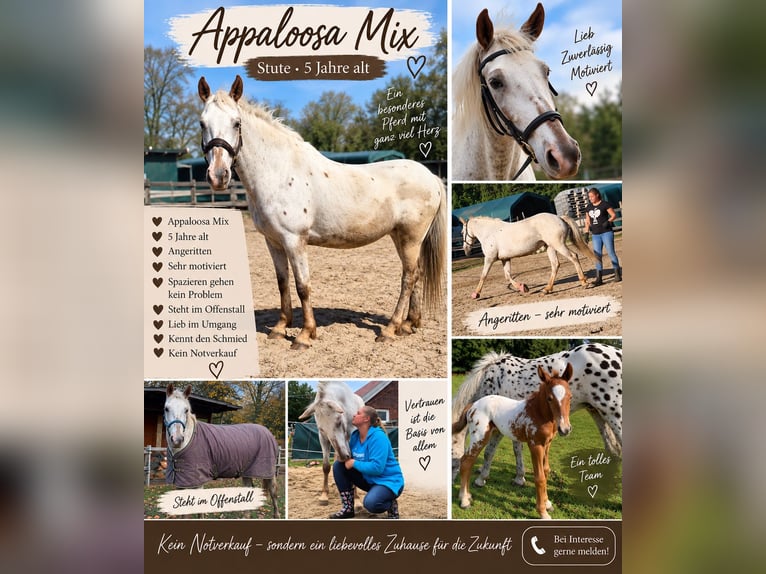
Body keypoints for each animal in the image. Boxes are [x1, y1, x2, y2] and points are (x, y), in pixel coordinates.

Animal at [163, 384, 281, 518]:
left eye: (186, 410)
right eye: (166, 409)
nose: (177, 440)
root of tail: (268, 433)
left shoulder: (198, 482)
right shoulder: (181, 483)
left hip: (268, 473)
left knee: (273, 493)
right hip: (247, 472)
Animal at [198, 76, 447, 350]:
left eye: (236, 122)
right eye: (202, 123)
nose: (218, 176)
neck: (279, 171)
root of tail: (432, 177)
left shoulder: (294, 240)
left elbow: (302, 286)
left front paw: (305, 335)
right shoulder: (273, 241)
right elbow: (282, 283)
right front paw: (280, 328)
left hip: (411, 238)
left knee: (408, 277)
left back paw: (390, 329)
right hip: (401, 237)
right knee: (417, 274)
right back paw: (409, 324)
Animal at [452, 342, 622, 488]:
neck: (490, 380)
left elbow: (490, 452)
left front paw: (482, 479)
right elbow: (516, 449)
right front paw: (519, 477)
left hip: (614, 413)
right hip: (598, 412)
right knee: (613, 449)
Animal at [453, 363, 573, 518]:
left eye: (570, 397)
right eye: (549, 398)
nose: (565, 429)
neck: (537, 412)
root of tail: (472, 405)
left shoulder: (547, 444)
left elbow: (546, 471)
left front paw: (547, 504)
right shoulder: (535, 445)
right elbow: (539, 477)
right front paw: (542, 512)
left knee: (469, 461)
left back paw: (467, 495)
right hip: (479, 436)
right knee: (466, 462)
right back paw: (464, 500)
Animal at [459, 213, 595, 298]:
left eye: (461, 232)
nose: (466, 250)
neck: (489, 233)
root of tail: (559, 218)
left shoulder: (489, 259)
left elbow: (483, 276)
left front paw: (476, 294)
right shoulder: (505, 259)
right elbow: (507, 276)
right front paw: (523, 287)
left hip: (559, 245)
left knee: (573, 256)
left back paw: (584, 283)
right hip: (550, 247)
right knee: (555, 265)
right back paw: (546, 289)